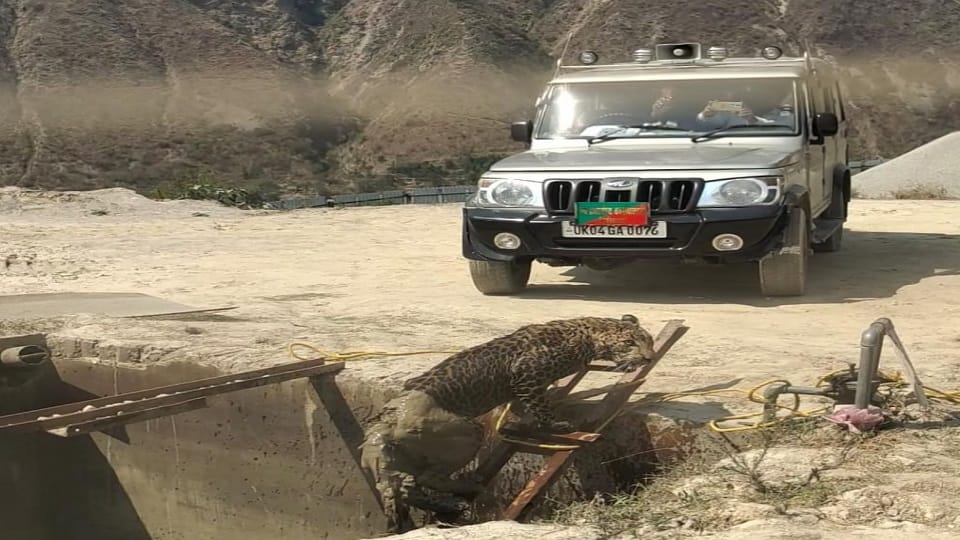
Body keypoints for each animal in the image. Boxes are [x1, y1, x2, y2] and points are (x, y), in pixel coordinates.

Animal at [358, 314, 655, 532]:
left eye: (650, 341)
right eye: (630, 342)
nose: (648, 357)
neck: (587, 334)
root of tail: (383, 421)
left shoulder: (522, 385)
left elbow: (530, 404)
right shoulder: (527, 374)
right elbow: (539, 406)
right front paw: (555, 424)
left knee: (407, 487)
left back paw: (447, 505)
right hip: (467, 431)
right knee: (426, 478)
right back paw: (468, 487)